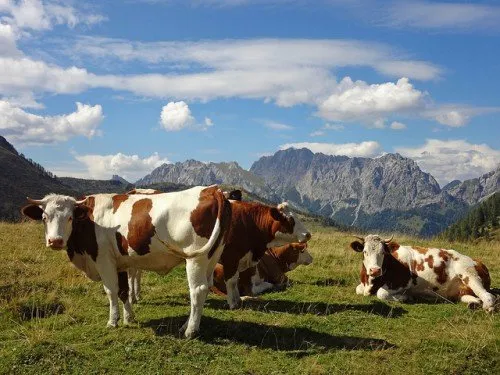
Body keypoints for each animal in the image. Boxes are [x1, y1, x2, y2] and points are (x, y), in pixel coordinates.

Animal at [21, 187, 229, 340]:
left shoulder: (103, 260)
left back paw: (190, 330)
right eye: (44, 218)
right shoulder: (120, 263)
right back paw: (186, 324)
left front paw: (113, 321)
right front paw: (129, 317)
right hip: (211, 256)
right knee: (206, 288)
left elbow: (111, 291)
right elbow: (123, 291)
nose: (55, 241)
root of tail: (211, 190)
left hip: (195, 259)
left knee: (198, 290)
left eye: (69, 217)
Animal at [352, 235, 496, 312]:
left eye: (383, 252)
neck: (370, 283)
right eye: (365, 251)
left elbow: (381, 293)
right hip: (462, 292)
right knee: (476, 298)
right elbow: (358, 289)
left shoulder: (404, 282)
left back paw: (489, 307)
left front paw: (406, 297)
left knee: (489, 296)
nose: (375, 270)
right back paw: (473, 304)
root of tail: (479, 262)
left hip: (469, 275)